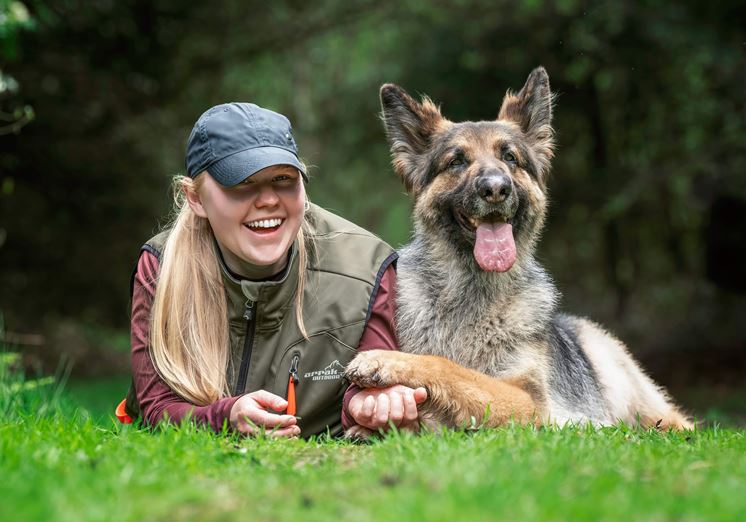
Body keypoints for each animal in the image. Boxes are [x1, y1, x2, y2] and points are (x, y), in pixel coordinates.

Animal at [344, 67, 692, 432]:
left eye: (510, 157)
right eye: (456, 162)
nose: (496, 189)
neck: (472, 291)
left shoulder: (528, 402)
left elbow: (448, 366)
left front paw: (383, 360)